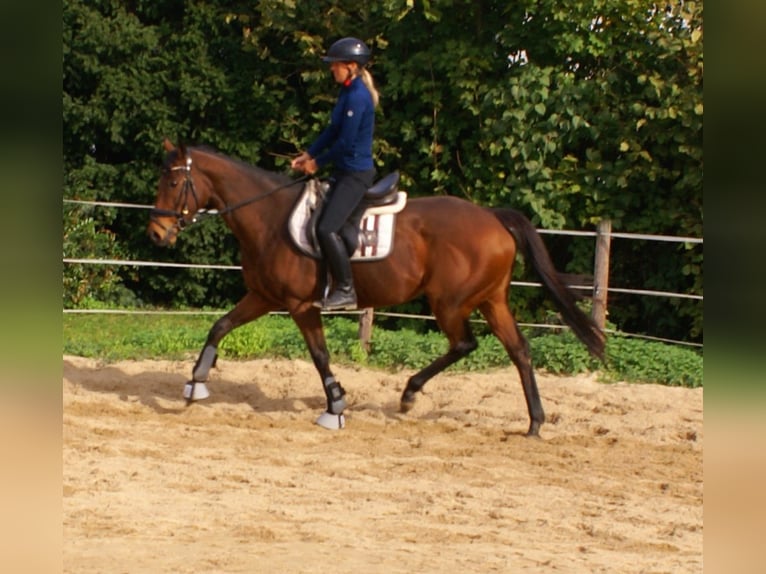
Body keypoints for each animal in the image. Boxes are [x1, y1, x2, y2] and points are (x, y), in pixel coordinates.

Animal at [148, 138, 608, 436]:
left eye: (172, 182)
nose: (156, 233)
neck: (270, 216)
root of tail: (493, 218)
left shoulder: (300, 305)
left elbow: (319, 355)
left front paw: (334, 408)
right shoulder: (264, 297)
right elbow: (220, 326)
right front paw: (196, 383)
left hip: (450, 302)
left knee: (465, 344)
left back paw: (410, 393)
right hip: (491, 300)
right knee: (519, 350)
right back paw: (534, 422)